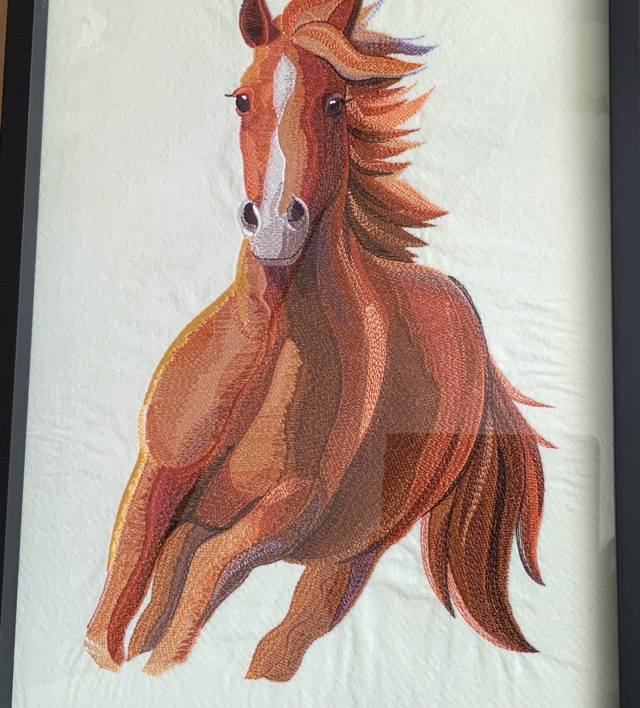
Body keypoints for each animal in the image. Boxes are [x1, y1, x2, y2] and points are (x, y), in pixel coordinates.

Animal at [85, 0, 551, 682]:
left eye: (335, 102)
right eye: (242, 99)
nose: (276, 224)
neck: (262, 358)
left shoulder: (284, 516)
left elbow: (189, 606)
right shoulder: (156, 481)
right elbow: (110, 624)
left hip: (348, 556)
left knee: (275, 644)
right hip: (211, 517)